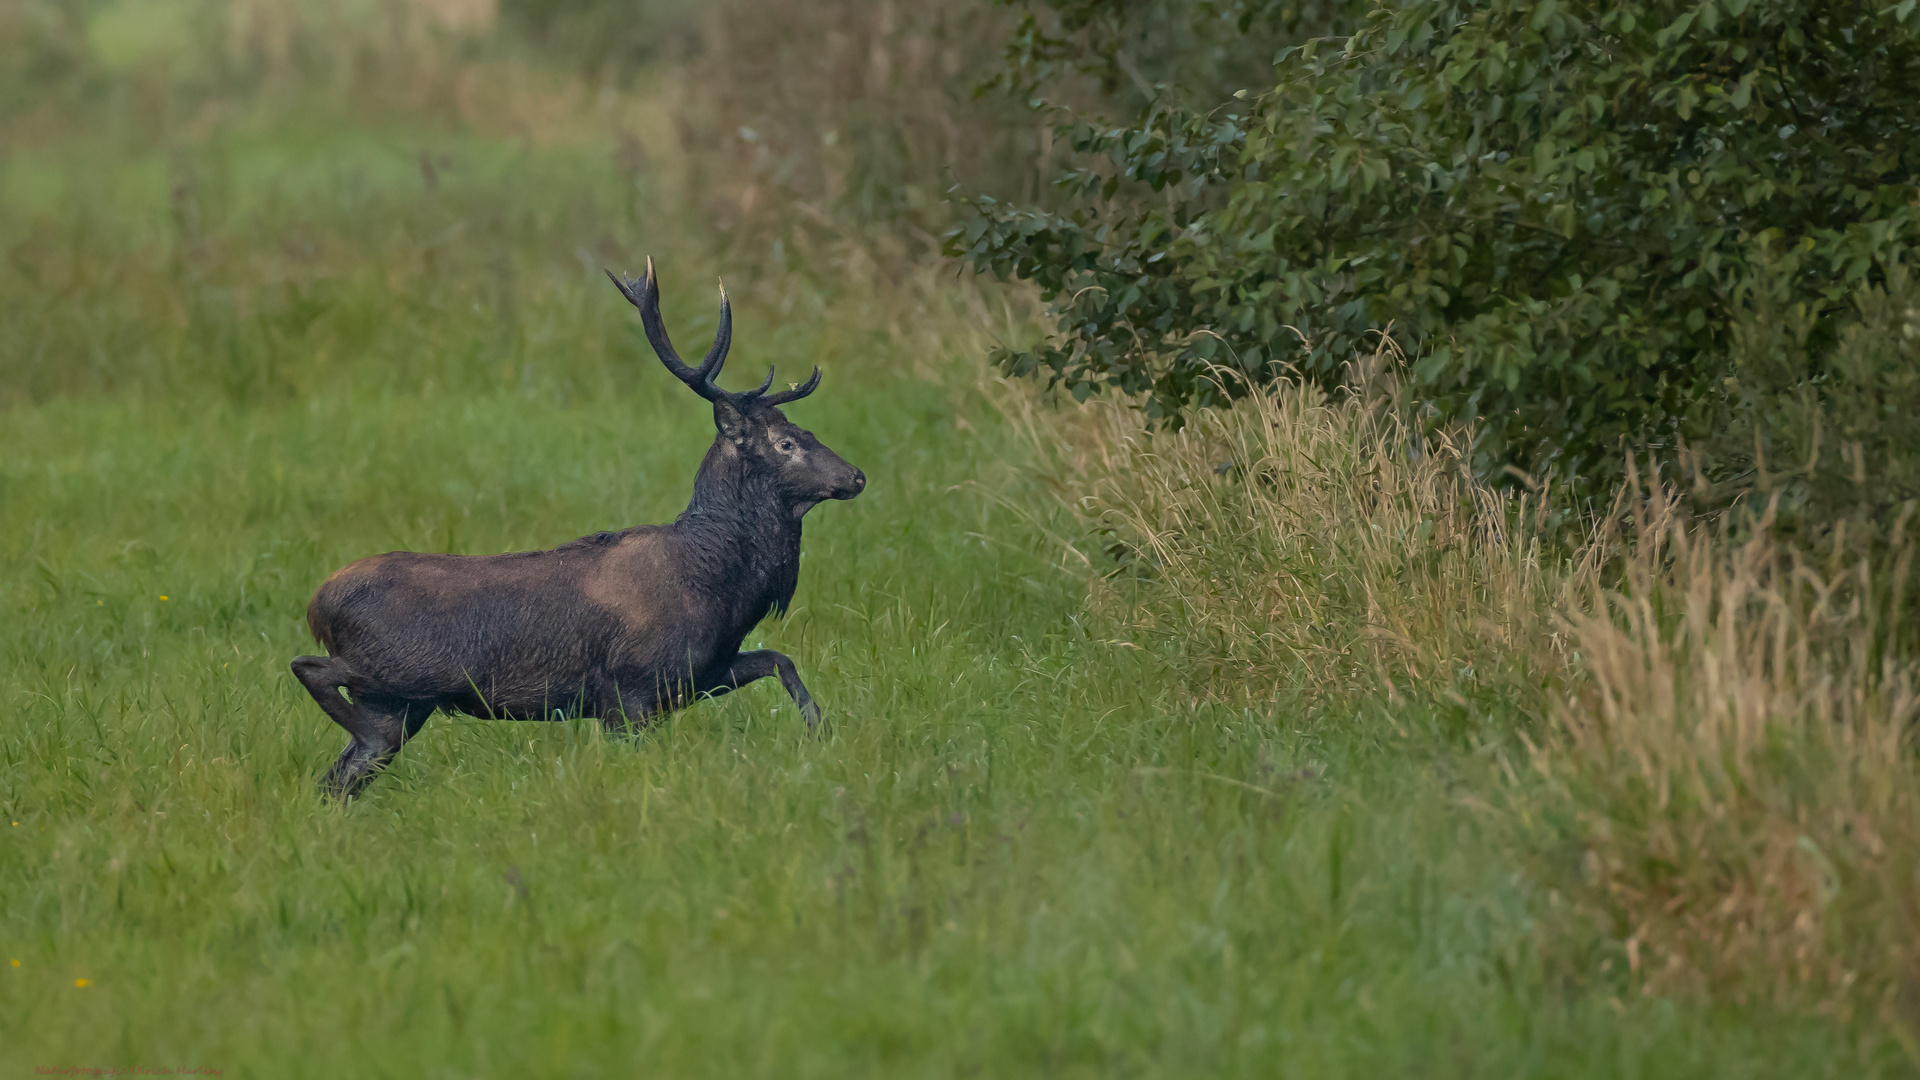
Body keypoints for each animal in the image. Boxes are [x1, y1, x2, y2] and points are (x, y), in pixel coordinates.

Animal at [288, 259, 867, 799]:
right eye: (785, 444)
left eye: (804, 431)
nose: (857, 476)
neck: (721, 588)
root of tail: (319, 602)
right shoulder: (629, 690)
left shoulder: (699, 673)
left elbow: (779, 659)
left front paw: (823, 733)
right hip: (399, 673)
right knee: (310, 671)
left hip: (396, 706)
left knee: (337, 778)